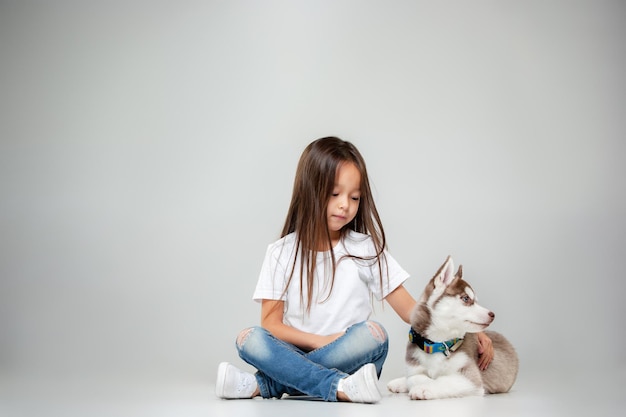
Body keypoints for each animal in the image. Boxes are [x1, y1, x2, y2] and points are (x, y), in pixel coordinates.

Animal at [386, 255, 516, 398]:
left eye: (475, 300)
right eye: (466, 298)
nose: (492, 315)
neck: (437, 344)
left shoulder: (470, 378)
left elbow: (442, 380)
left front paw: (423, 388)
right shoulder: (414, 365)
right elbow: (414, 377)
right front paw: (415, 382)